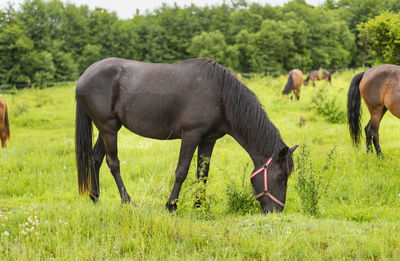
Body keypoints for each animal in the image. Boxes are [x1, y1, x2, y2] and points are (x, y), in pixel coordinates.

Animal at [75, 56, 298, 211]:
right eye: (280, 176)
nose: (276, 211)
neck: (220, 95)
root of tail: (84, 77)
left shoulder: (208, 140)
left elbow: (202, 174)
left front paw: (199, 205)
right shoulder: (191, 136)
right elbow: (181, 171)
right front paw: (171, 205)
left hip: (107, 129)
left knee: (95, 159)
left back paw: (95, 198)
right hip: (108, 128)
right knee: (113, 164)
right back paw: (127, 201)